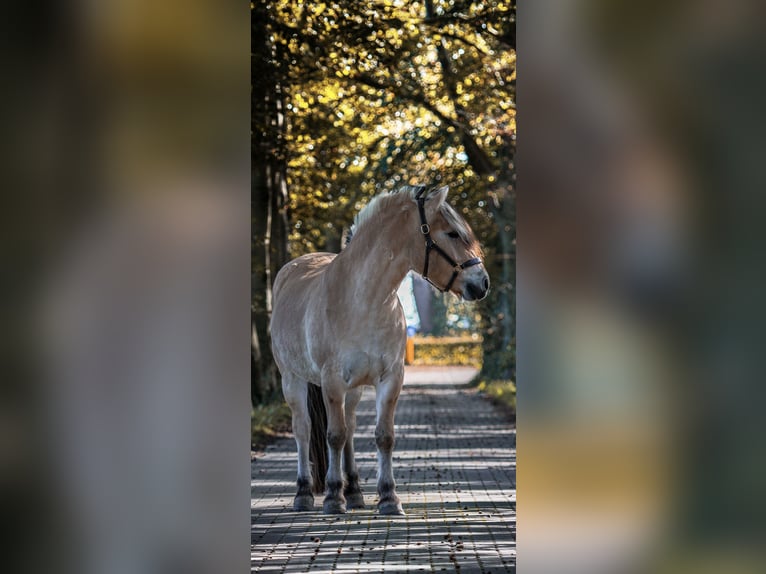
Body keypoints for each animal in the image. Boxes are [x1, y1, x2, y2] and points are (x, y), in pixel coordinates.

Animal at [270, 186, 488, 516]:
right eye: (452, 233)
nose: (482, 283)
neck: (364, 300)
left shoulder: (390, 378)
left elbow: (383, 436)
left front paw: (388, 497)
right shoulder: (332, 381)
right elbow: (333, 435)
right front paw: (333, 497)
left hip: (354, 390)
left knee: (350, 429)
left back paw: (355, 492)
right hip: (292, 380)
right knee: (304, 430)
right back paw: (305, 492)